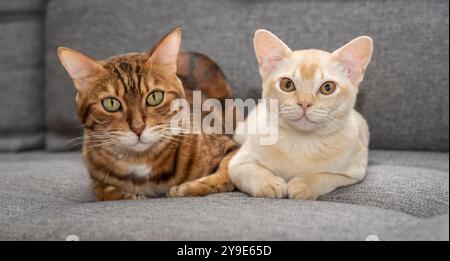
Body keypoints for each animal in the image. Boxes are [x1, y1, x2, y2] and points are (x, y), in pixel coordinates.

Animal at [229, 29, 372, 199]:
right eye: (287, 84)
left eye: (328, 87)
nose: (305, 103)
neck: (302, 143)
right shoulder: (237, 164)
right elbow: (252, 171)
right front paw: (268, 183)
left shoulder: (354, 172)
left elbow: (324, 176)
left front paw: (303, 185)